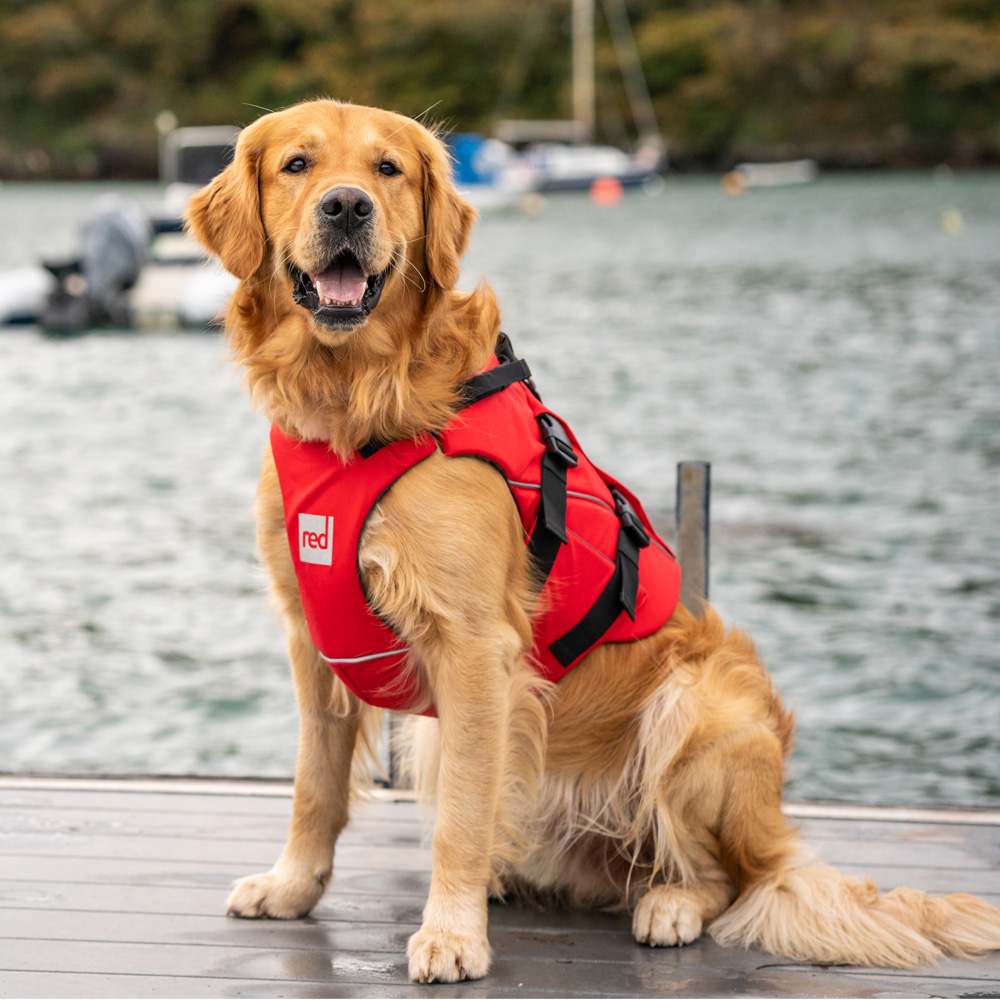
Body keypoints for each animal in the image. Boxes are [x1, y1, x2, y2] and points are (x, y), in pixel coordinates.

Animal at [188, 101, 1000, 984]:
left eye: (387, 170)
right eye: (298, 165)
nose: (346, 207)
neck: (355, 402)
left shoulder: (475, 648)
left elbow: (459, 818)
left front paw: (451, 935)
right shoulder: (312, 639)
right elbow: (315, 785)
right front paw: (292, 887)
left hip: (699, 708)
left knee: (726, 879)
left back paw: (670, 904)